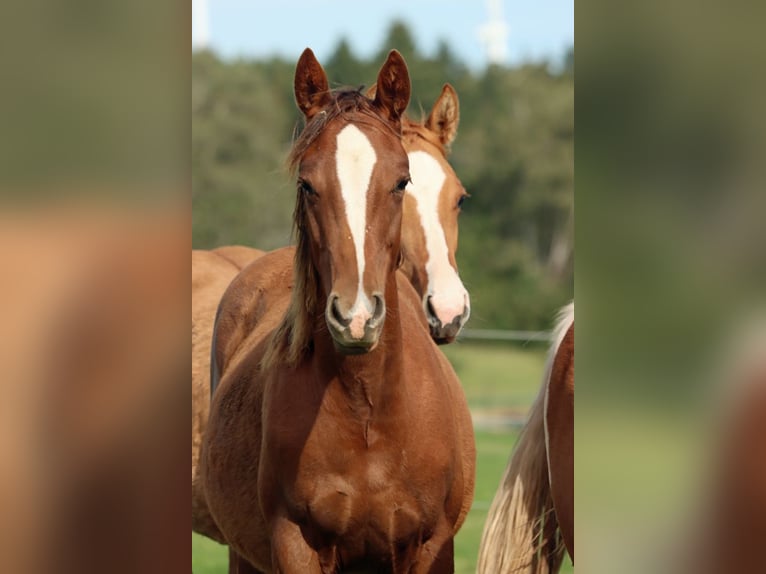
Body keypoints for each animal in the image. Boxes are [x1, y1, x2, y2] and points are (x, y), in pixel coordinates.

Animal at [198, 48, 476, 573]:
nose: (356, 316)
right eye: (307, 184)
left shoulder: (433, 546)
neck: (369, 411)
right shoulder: (294, 545)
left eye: (401, 180)